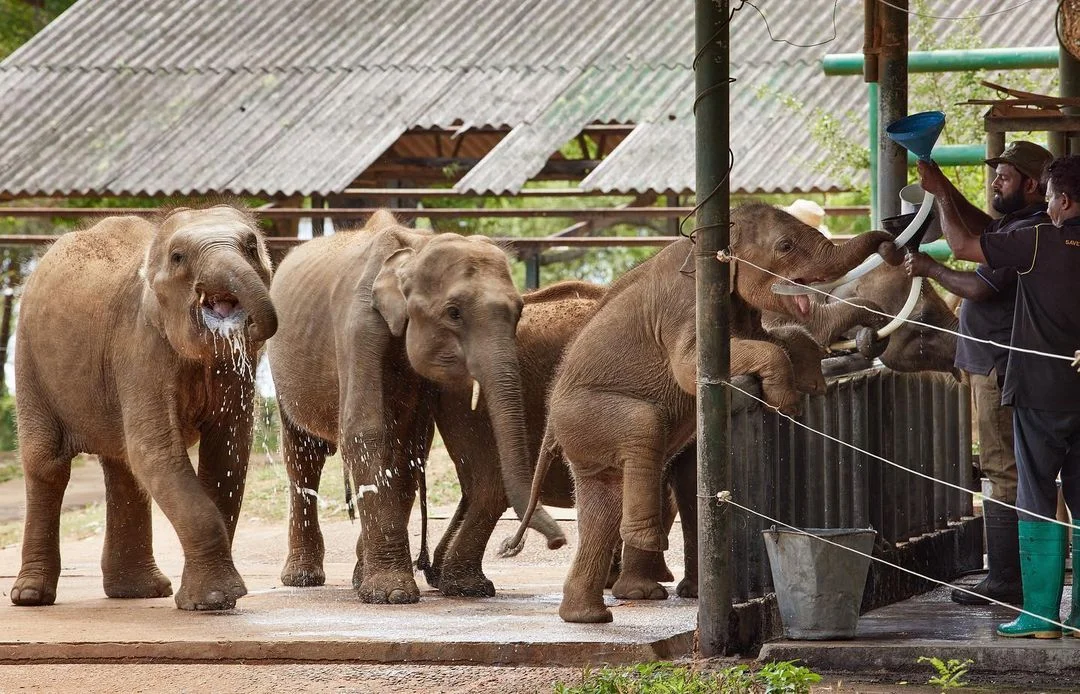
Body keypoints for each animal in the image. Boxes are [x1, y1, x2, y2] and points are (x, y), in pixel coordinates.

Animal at [11, 203, 278, 613]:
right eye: (179, 257)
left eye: (251, 247)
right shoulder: (139, 345)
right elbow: (156, 451)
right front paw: (215, 601)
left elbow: (228, 453)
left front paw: (208, 602)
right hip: (30, 359)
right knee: (47, 464)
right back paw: (30, 597)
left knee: (122, 465)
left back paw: (140, 592)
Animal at [264, 210, 557, 604]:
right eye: (453, 313)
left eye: (520, 311)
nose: (512, 547)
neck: (416, 249)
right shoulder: (358, 323)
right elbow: (366, 432)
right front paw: (391, 595)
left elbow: (410, 449)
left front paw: (377, 585)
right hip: (280, 368)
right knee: (303, 456)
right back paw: (302, 578)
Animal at [509, 201, 889, 626]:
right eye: (785, 246)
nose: (891, 241)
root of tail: (551, 419)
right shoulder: (686, 304)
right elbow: (692, 367)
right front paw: (787, 402)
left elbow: (767, 337)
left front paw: (811, 385)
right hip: (587, 413)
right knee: (643, 426)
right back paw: (640, 552)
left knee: (601, 504)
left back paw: (587, 617)